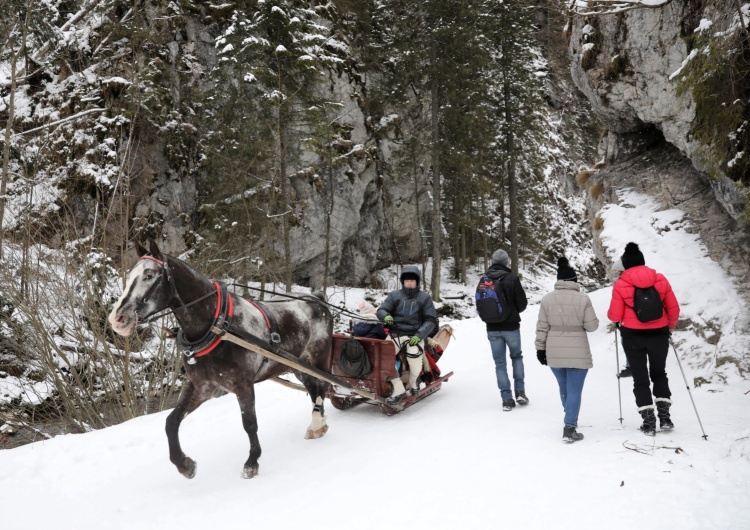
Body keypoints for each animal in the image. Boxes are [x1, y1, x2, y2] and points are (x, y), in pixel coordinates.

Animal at [108, 240, 334, 478]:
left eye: (150, 275)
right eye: (130, 274)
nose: (118, 318)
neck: (217, 325)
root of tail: (317, 299)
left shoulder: (243, 384)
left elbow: (249, 423)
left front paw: (252, 462)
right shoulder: (202, 386)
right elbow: (171, 421)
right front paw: (184, 464)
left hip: (318, 360)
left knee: (323, 386)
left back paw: (317, 423)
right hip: (298, 367)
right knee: (313, 389)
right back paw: (318, 424)